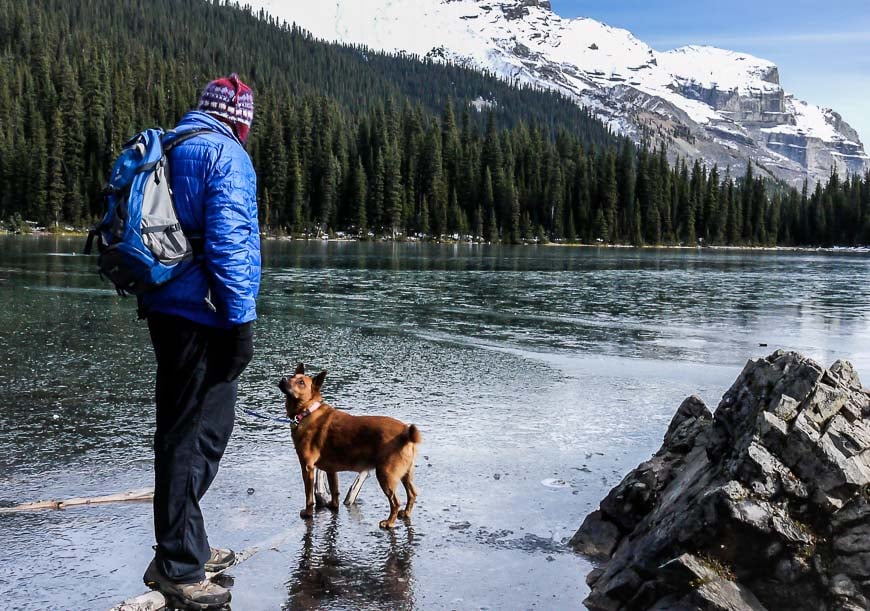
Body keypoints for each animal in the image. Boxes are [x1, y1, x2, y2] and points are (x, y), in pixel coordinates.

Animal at [280, 364, 422, 532]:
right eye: (292, 376)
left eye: (301, 382)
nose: (283, 379)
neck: (307, 412)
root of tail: (406, 432)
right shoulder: (331, 469)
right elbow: (334, 490)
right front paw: (333, 506)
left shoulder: (307, 468)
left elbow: (309, 496)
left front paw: (308, 513)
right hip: (406, 474)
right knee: (412, 494)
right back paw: (405, 513)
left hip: (385, 475)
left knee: (395, 501)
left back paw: (389, 522)